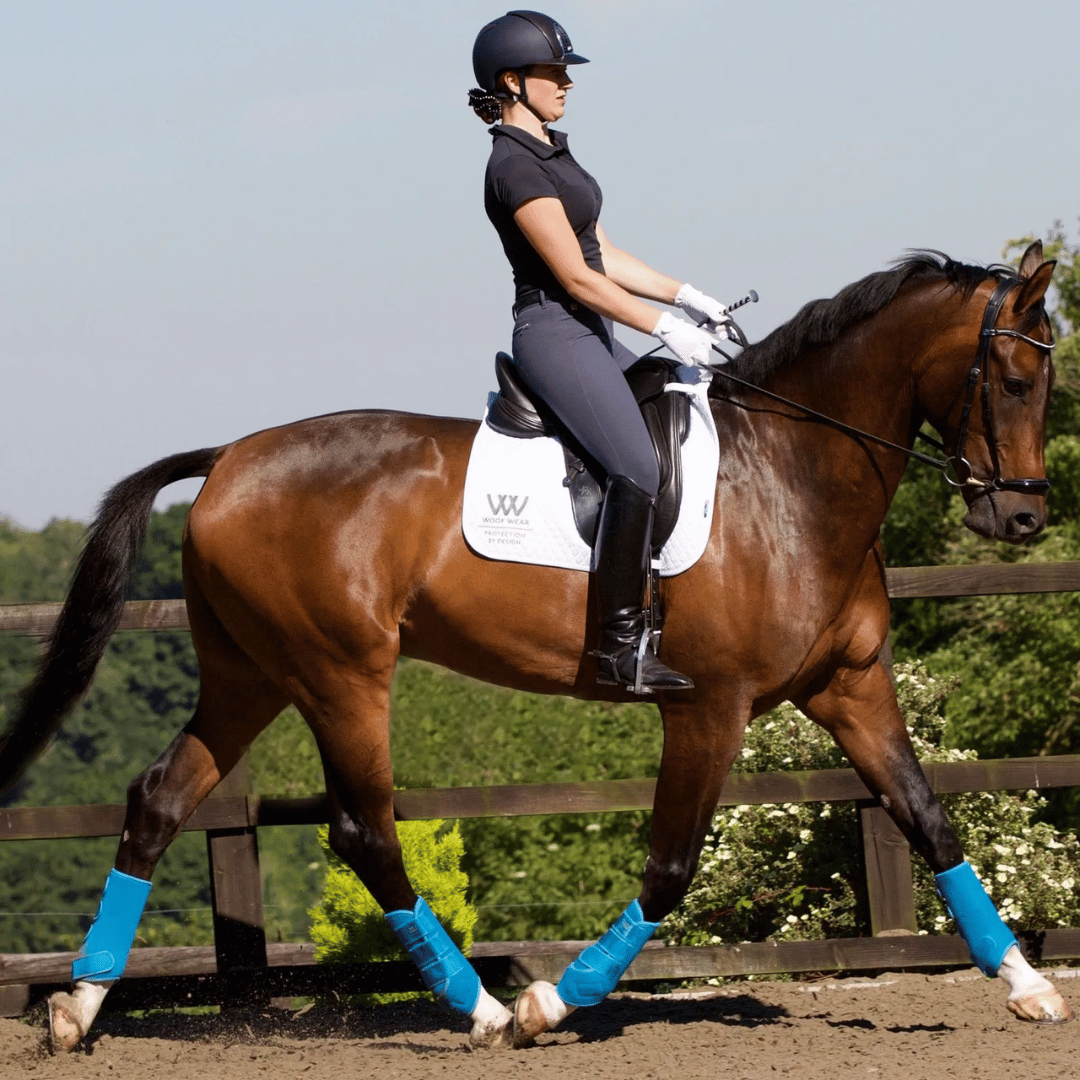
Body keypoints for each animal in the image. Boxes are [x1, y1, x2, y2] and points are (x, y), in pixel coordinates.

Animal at [1, 242, 1070, 1051]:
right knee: (364, 830)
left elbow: (930, 819)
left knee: (161, 798)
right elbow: (670, 866)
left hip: (248, 675)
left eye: (1046, 381)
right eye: (1016, 379)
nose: (1019, 519)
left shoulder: (851, 685)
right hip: (341, 674)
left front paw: (1026, 985)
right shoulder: (709, 705)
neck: (791, 476)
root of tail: (227, 459)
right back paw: (477, 1008)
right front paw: (551, 1001)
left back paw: (79, 1009)